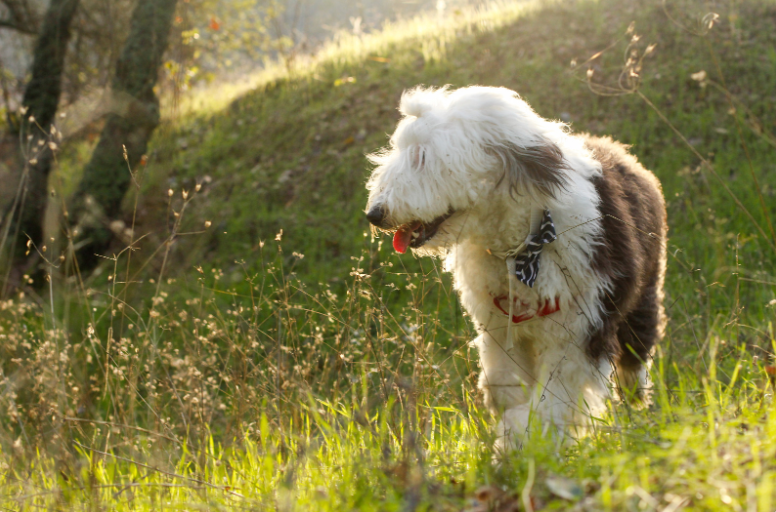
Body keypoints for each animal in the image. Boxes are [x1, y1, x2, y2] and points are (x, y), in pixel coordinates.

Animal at [364, 86, 668, 446]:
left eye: (423, 157)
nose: (374, 214)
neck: (522, 248)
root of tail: (618, 150)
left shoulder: (580, 331)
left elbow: (554, 397)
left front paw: (523, 441)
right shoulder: (498, 326)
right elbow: (503, 383)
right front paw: (512, 424)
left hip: (643, 290)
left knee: (637, 349)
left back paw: (636, 398)